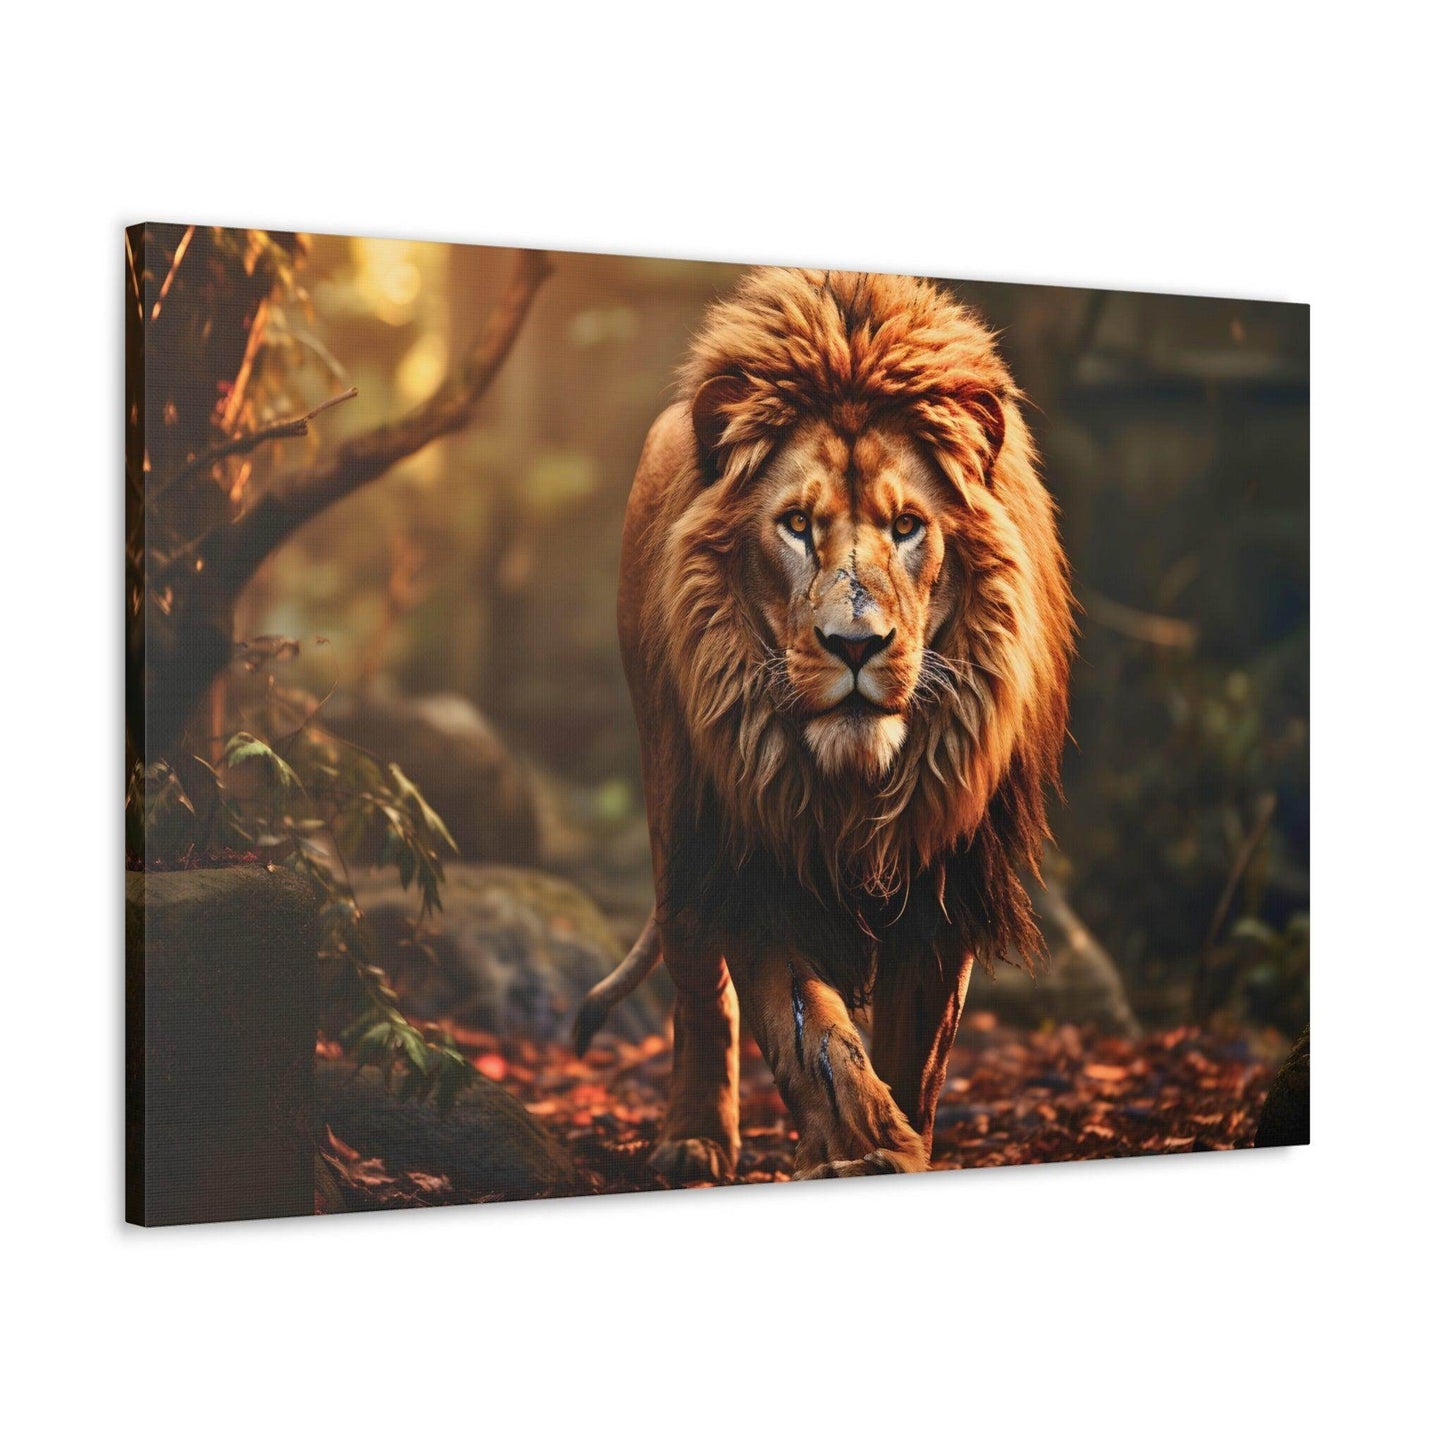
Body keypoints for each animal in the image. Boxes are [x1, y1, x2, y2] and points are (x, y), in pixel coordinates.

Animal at [576, 268, 1074, 1183]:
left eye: (907, 526)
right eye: (797, 524)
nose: (854, 643)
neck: (858, 786)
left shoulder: (942, 882)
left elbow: (916, 1055)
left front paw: (897, 1142)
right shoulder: (757, 858)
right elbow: (813, 1036)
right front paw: (864, 1144)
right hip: (677, 814)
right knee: (699, 986)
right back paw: (694, 1137)